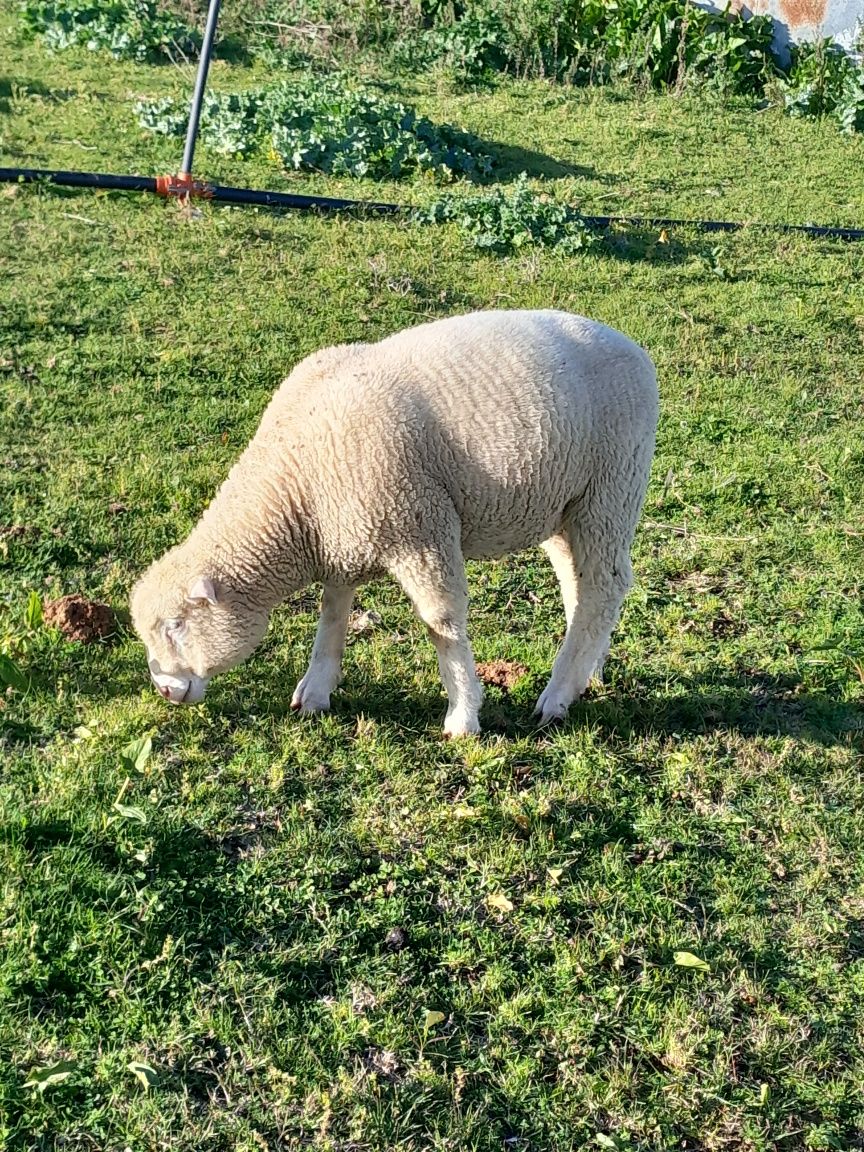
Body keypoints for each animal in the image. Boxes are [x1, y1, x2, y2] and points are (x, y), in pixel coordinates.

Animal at [130, 308, 654, 737]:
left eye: (176, 625)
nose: (165, 690)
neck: (294, 487)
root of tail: (633, 348)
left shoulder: (419, 525)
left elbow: (441, 623)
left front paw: (463, 715)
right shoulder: (342, 533)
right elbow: (333, 611)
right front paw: (315, 688)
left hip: (612, 486)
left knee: (604, 584)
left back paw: (558, 695)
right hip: (564, 504)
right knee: (578, 583)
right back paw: (588, 670)